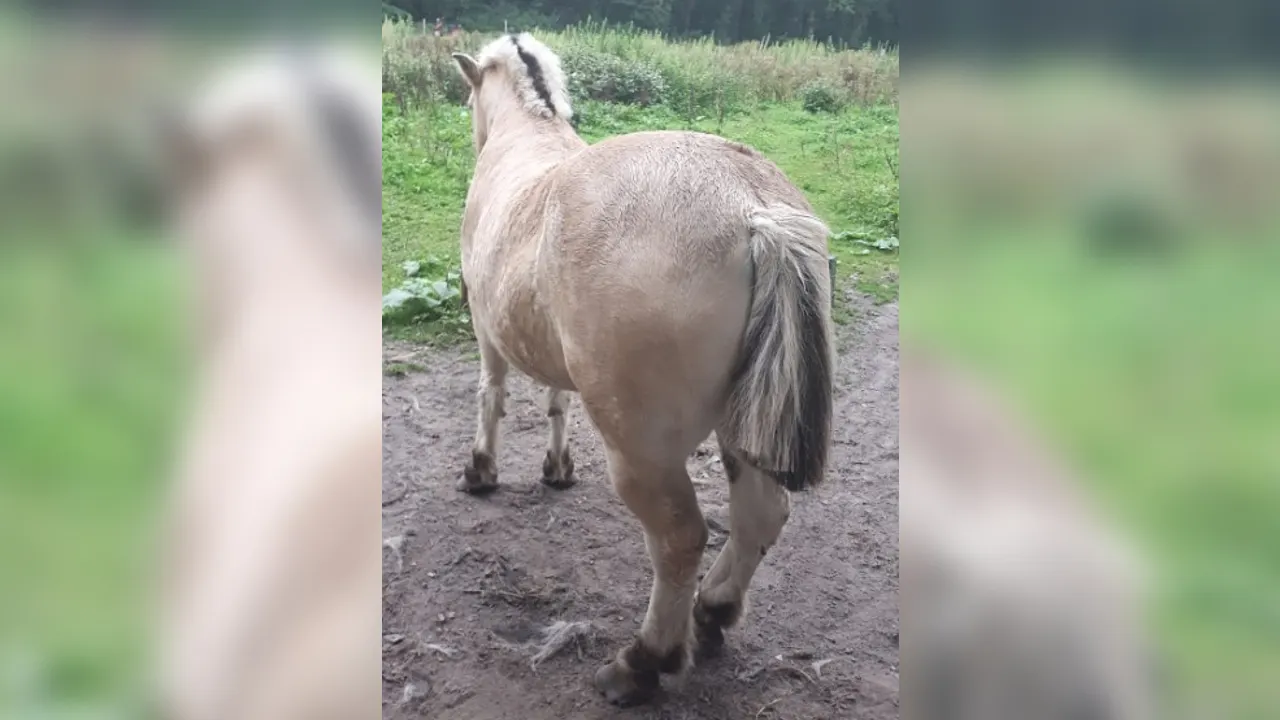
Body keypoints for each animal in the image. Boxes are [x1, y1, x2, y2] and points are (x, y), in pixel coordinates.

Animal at [450, 33, 835, 705]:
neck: (528, 142)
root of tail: (752, 207)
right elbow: (554, 401)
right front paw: (556, 468)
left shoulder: (487, 328)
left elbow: (490, 395)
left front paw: (482, 471)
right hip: (742, 426)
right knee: (760, 515)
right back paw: (713, 613)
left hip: (642, 453)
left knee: (680, 539)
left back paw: (645, 661)